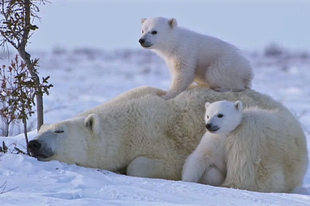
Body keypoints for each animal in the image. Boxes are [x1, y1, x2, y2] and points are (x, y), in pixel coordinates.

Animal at [28, 86, 308, 192]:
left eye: (59, 130)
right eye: (41, 128)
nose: (34, 144)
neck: (128, 124)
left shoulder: (161, 139)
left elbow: (142, 164)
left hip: (264, 132)